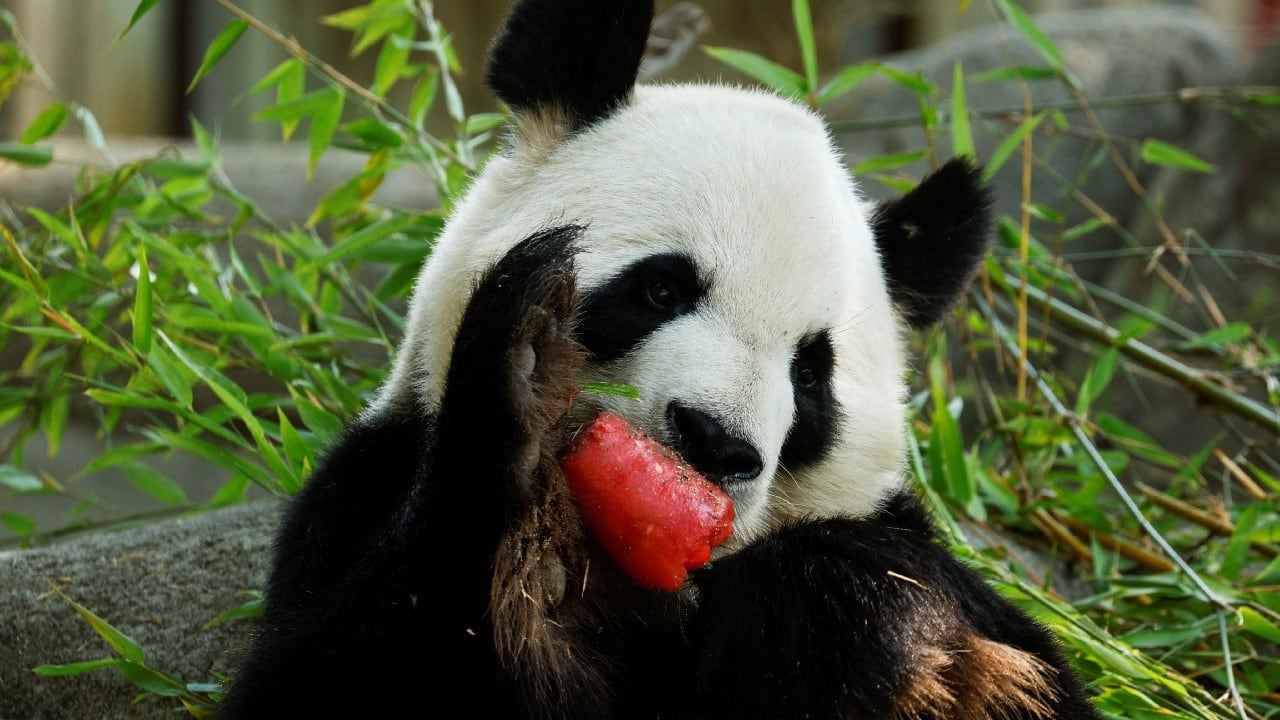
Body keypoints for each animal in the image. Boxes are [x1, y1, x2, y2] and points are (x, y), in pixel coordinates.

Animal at [219, 0, 1103, 718]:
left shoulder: (904, 539)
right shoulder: (367, 487)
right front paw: (521, 377)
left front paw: (849, 615)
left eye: (810, 373)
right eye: (661, 290)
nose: (714, 441)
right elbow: (331, 670)